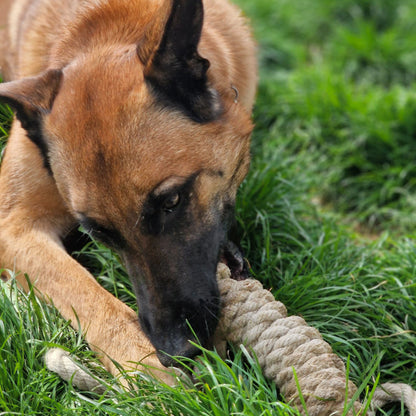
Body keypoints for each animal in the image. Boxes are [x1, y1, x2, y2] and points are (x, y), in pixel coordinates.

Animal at [0, 0, 256, 380]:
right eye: (99, 233)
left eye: (171, 200)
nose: (175, 350)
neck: (104, 26)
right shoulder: (14, 227)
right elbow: (83, 293)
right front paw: (144, 366)